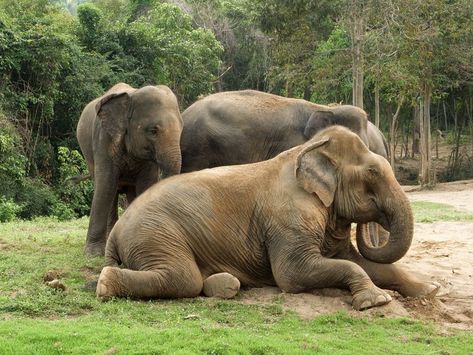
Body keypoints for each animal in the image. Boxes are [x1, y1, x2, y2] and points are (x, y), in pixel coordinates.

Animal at [76, 82, 182, 256]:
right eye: (153, 130)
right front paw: (93, 254)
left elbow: (146, 185)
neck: (132, 95)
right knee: (110, 192)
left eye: (182, 128)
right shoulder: (103, 139)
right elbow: (105, 186)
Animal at [96, 126, 438, 310]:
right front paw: (376, 301)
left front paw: (430, 289)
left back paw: (226, 285)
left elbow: (362, 262)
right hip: (155, 234)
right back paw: (105, 284)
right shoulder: (288, 218)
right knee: (183, 277)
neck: (306, 150)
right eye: (373, 173)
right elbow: (293, 274)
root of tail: (118, 230)